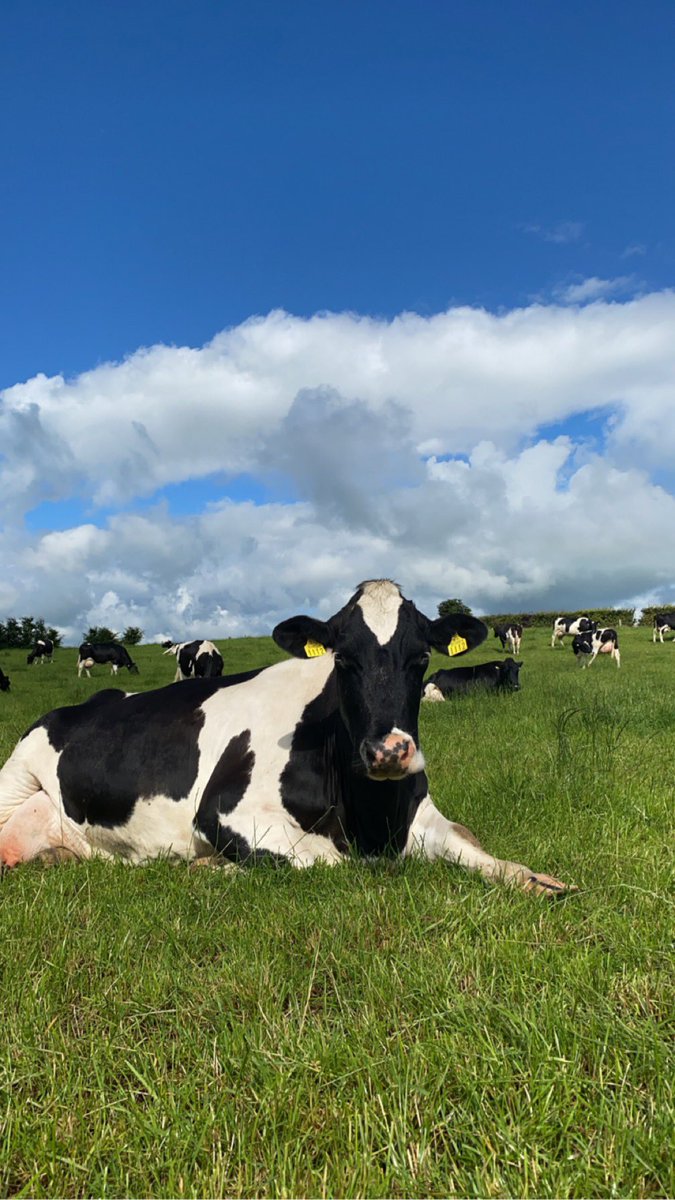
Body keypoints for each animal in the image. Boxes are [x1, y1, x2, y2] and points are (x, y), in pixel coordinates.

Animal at [0, 579, 572, 896]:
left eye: (421, 658)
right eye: (342, 659)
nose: (389, 751)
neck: (370, 815)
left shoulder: (421, 815)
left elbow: (475, 844)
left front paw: (544, 881)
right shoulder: (223, 811)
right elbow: (327, 863)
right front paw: (211, 869)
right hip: (16, 775)